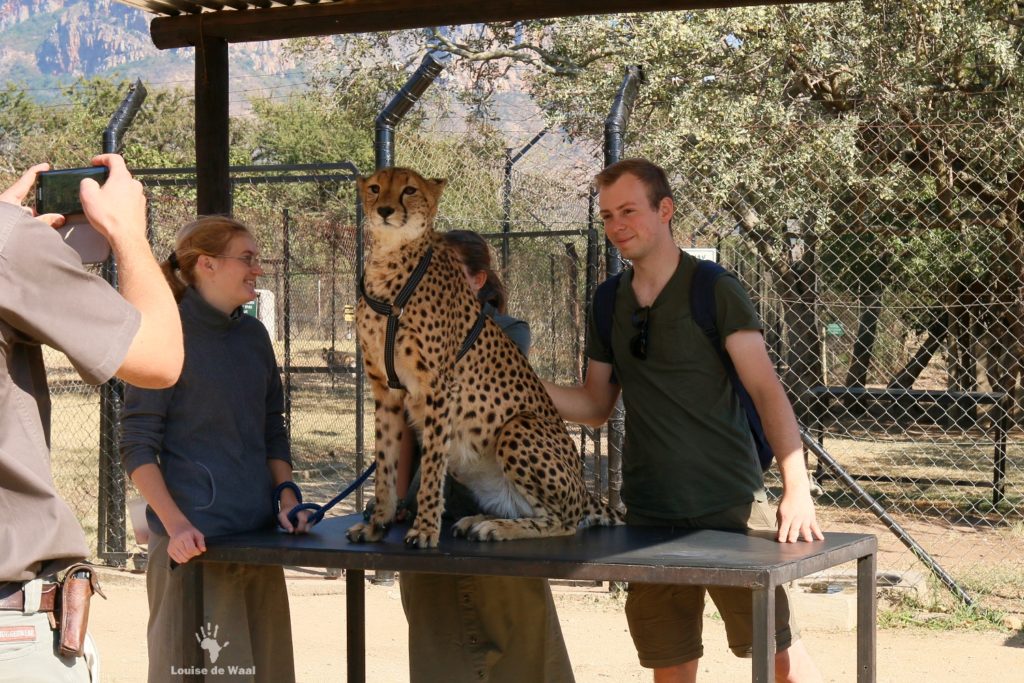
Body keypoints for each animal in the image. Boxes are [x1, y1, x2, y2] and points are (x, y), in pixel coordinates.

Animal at [344, 166, 618, 548]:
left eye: (409, 190)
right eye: (374, 188)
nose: (384, 210)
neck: (390, 262)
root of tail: (585, 490)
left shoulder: (438, 389)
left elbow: (432, 467)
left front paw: (425, 529)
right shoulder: (386, 390)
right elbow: (384, 462)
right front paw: (377, 523)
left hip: (519, 425)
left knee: (566, 521)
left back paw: (496, 528)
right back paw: (480, 520)